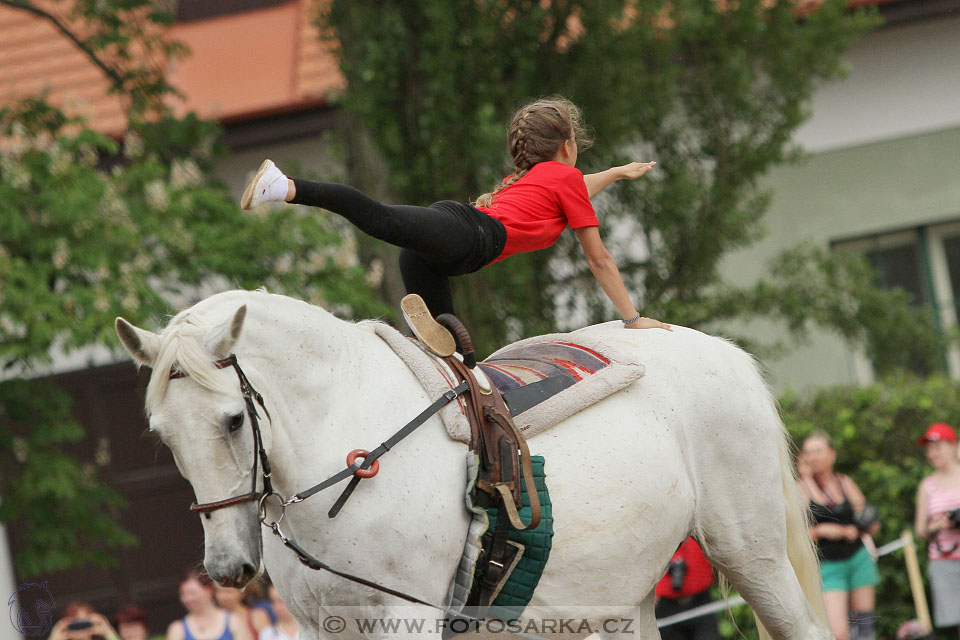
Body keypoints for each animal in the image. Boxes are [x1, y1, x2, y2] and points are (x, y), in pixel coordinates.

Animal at [114, 290, 832, 640]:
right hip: (622, 600)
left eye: (233, 421)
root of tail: (717, 350)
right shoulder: (325, 630)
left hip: (751, 555)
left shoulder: (405, 621)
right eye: (164, 435)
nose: (226, 567)